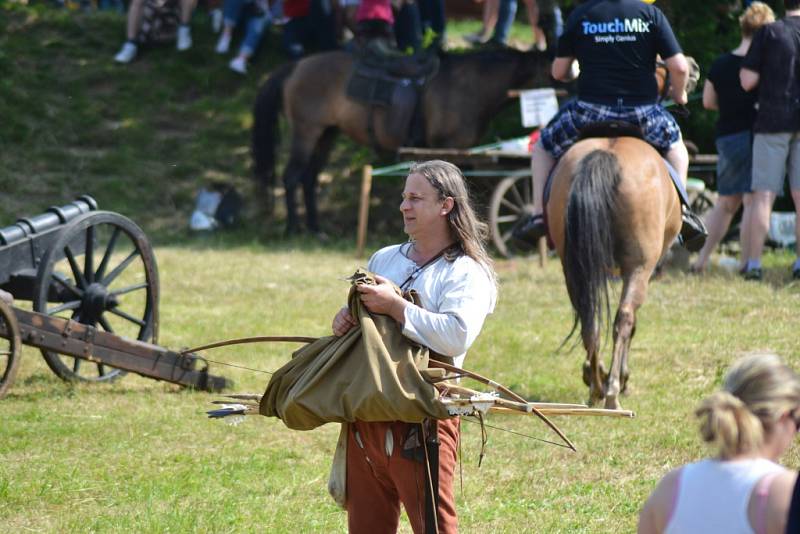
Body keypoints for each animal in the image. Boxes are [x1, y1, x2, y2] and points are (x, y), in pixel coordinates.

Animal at [253, 48, 552, 234]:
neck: (469, 85)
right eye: (551, 70)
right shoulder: (449, 148)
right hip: (306, 132)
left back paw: (315, 229)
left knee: (309, 178)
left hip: (327, 134)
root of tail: (297, 65)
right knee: (292, 176)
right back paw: (293, 228)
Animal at [552, 137, 680, 410]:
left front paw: (594, 372)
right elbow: (631, 326)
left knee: (590, 323)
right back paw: (612, 391)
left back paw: (596, 387)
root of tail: (607, 153)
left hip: (573, 269)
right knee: (624, 320)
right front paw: (623, 377)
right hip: (638, 268)